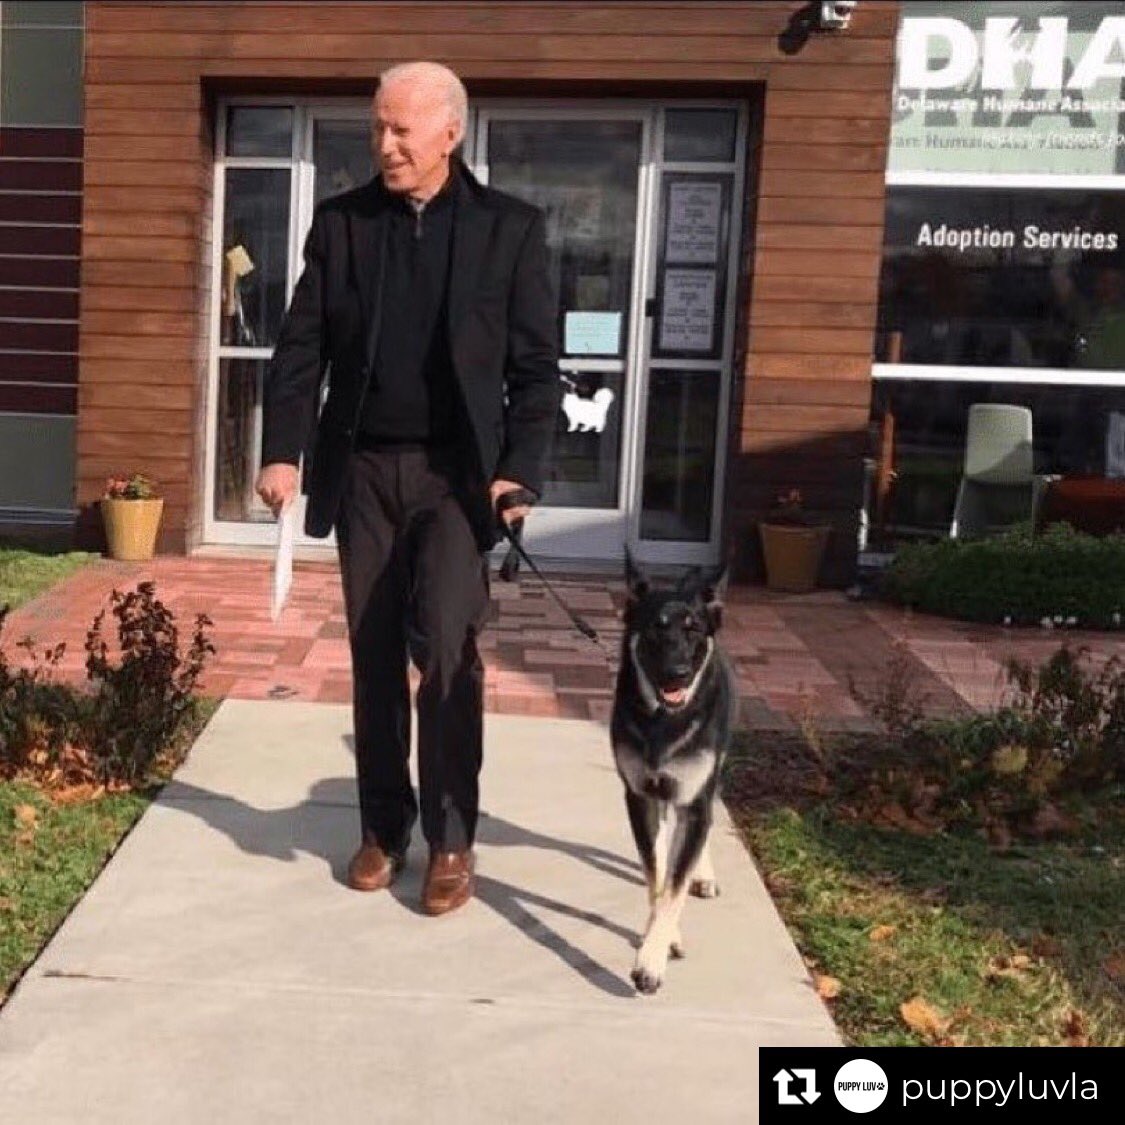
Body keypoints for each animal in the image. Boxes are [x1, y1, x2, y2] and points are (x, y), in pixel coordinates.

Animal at [611, 551, 735, 994]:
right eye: (655, 628)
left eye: (693, 629)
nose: (677, 672)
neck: (663, 720)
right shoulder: (640, 797)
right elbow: (658, 876)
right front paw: (663, 938)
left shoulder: (693, 798)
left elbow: (675, 886)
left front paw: (651, 960)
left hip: (711, 775)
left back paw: (704, 874)